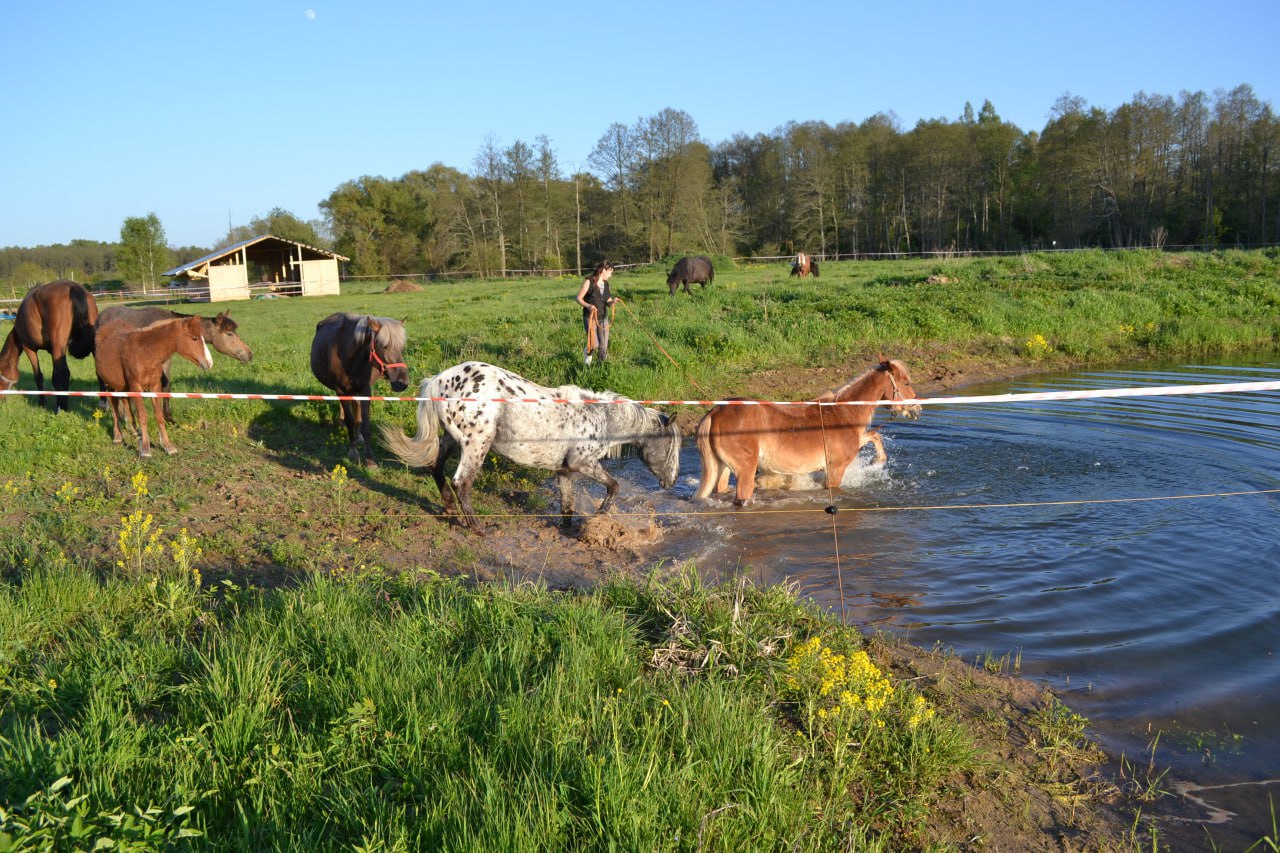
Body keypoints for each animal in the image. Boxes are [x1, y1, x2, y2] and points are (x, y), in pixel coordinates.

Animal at [0, 279, 99, 409]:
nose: (1, 399)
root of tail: (74, 288)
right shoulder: (53, 351)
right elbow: (54, 377)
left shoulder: (28, 347)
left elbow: (39, 376)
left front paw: (42, 402)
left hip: (58, 346)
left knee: (63, 374)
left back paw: (60, 407)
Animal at [94, 313, 212, 458]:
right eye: (194, 338)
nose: (209, 363)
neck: (146, 352)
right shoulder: (136, 387)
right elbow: (143, 416)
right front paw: (145, 449)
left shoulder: (155, 386)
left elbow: (159, 416)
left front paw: (168, 446)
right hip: (110, 385)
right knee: (115, 408)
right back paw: (117, 436)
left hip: (123, 385)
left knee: (125, 402)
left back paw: (135, 430)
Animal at [95, 306, 254, 425]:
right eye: (229, 334)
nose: (249, 354)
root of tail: (101, 315)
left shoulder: (166, 362)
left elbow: (166, 386)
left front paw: (169, 418)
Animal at [376, 356, 680, 525]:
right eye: (670, 447)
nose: (671, 481)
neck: (600, 417)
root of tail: (438, 380)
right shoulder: (582, 463)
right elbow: (614, 486)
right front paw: (600, 515)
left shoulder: (564, 470)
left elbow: (567, 505)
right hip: (477, 444)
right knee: (461, 482)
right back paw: (476, 527)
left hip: (452, 439)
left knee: (436, 468)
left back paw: (451, 512)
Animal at [696, 353, 926, 502]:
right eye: (905, 382)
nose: (917, 409)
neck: (843, 413)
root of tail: (715, 412)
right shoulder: (835, 471)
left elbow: (874, 435)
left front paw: (877, 460)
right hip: (745, 473)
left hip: (723, 469)